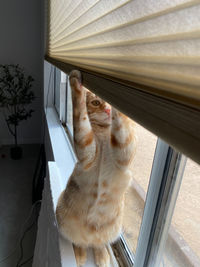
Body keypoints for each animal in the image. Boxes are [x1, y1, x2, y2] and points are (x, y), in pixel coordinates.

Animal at [56, 70, 138, 266]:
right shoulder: (86, 151)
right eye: (95, 102)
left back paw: (102, 256)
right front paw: (75, 84)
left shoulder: (124, 153)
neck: (104, 133)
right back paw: (79, 255)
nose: (108, 110)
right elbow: (80, 118)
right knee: (80, 243)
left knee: (98, 244)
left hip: (110, 232)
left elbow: (122, 130)